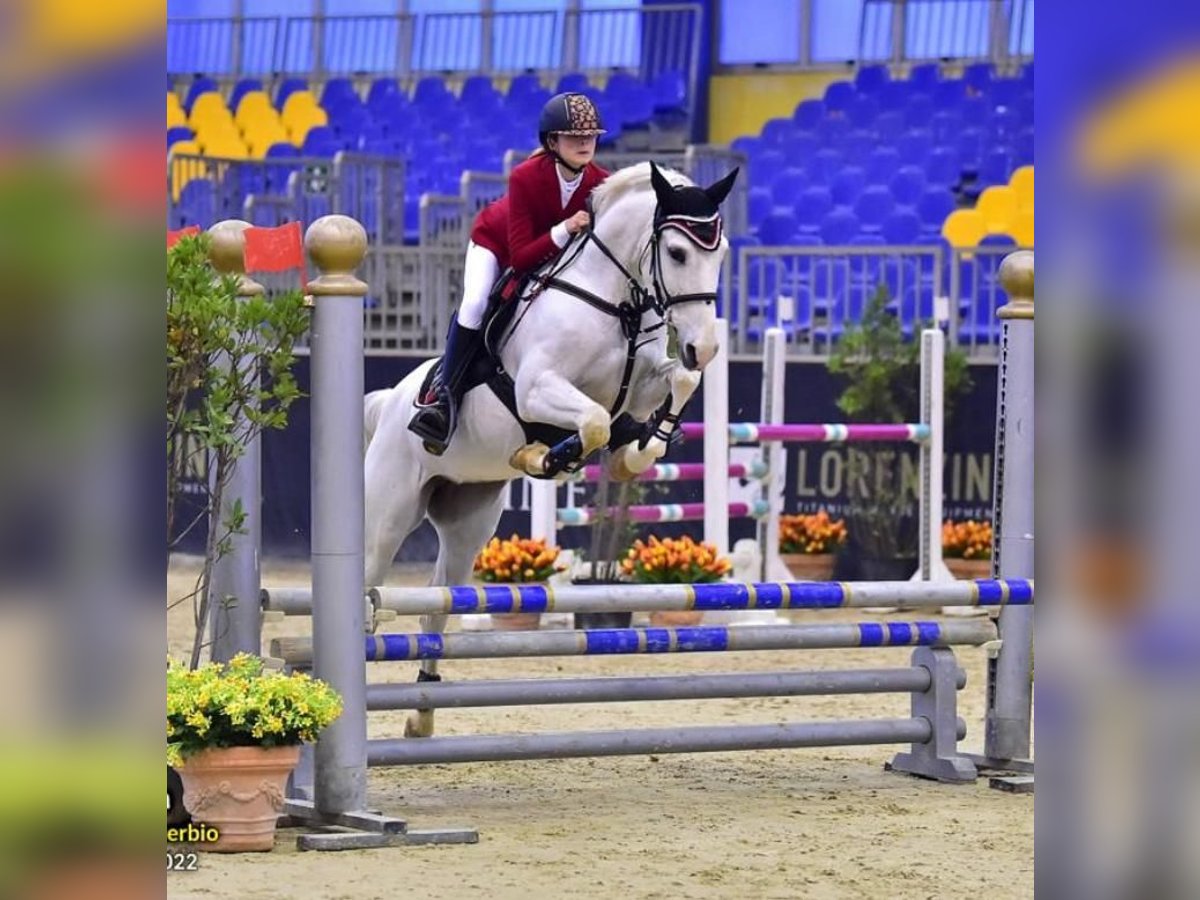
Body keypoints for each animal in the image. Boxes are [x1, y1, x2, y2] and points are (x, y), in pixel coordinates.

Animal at [360, 164, 734, 739]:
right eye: (676, 253)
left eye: (721, 253)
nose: (706, 346)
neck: (614, 301)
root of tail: (390, 402)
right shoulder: (538, 388)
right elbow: (595, 422)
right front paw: (544, 458)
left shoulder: (643, 383)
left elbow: (674, 385)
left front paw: (636, 453)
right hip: (387, 515)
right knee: (367, 590)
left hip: (467, 523)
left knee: (434, 611)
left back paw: (421, 716)